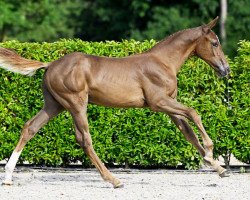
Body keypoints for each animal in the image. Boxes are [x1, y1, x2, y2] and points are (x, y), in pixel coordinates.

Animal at [0, 16, 230, 188]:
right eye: (215, 43)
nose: (226, 69)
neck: (163, 62)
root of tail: (49, 64)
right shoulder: (158, 102)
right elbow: (193, 113)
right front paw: (210, 152)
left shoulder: (169, 105)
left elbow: (188, 132)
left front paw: (218, 167)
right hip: (76, 103)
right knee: (84, 139)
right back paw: (113, 179)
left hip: (54, 105)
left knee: (30, 127)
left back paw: (9, 176)